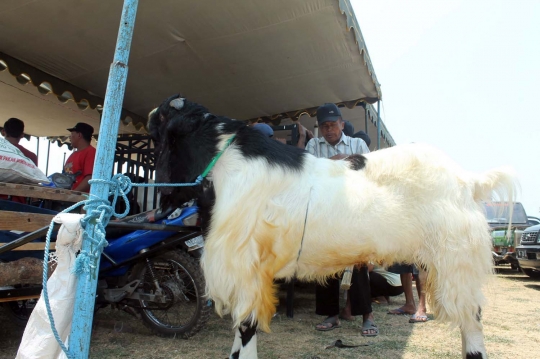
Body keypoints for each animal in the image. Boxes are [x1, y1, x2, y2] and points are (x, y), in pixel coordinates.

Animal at [147, 95, 516, 359]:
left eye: (162, 118)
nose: (148, 115)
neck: (230, 166)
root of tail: (467, 180)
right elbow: (239, 331)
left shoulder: (247, 266)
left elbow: (247, 328)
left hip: (456, 258)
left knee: (472, 317)